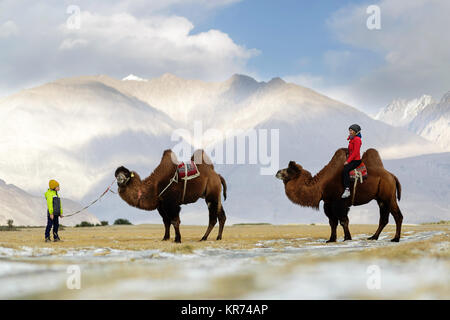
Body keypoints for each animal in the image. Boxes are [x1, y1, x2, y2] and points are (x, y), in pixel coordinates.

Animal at [274, 149, 404, 241]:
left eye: (289, 170)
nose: (277, 172)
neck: (321, 186)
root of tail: (392, 176)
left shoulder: (339, 202)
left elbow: (343, 221)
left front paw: (347, 238)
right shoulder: (328, 203)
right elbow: (332, 222)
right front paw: (331, 239)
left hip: (388, 196)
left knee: (397, 216)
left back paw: (395, 239)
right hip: (381, 198)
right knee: (384, 218)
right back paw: (373, 237)